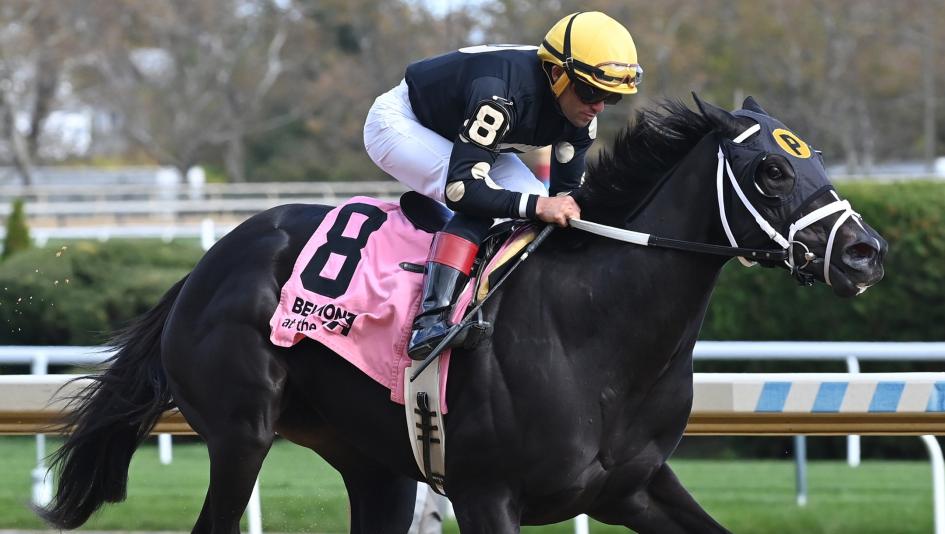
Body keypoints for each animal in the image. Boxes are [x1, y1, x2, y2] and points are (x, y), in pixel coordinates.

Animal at [38, 94, 886, 533]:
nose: (864, 252)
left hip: (374, 467)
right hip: (242, 434)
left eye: (811, 158)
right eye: (769, 168)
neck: (597, 329)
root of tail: (203, 266)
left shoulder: (634, 488)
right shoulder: (486, 496)